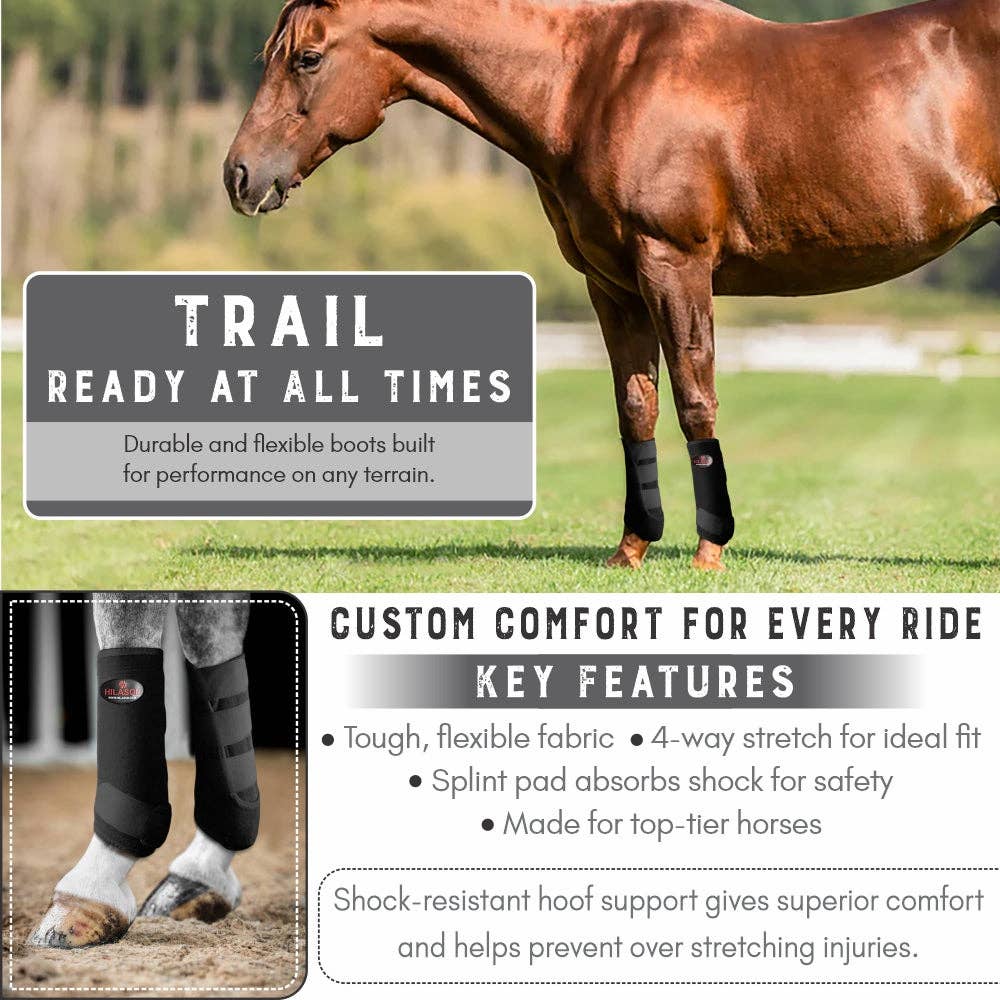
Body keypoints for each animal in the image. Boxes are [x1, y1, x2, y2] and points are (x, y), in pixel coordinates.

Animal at [225, 0, 1000, 571]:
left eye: (307, 57)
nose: (239, 175)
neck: (594, 79)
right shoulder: (614, 285)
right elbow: (637, 407)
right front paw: (632, 548)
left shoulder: (673, 263)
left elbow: (693, 397)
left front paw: (710, 552)